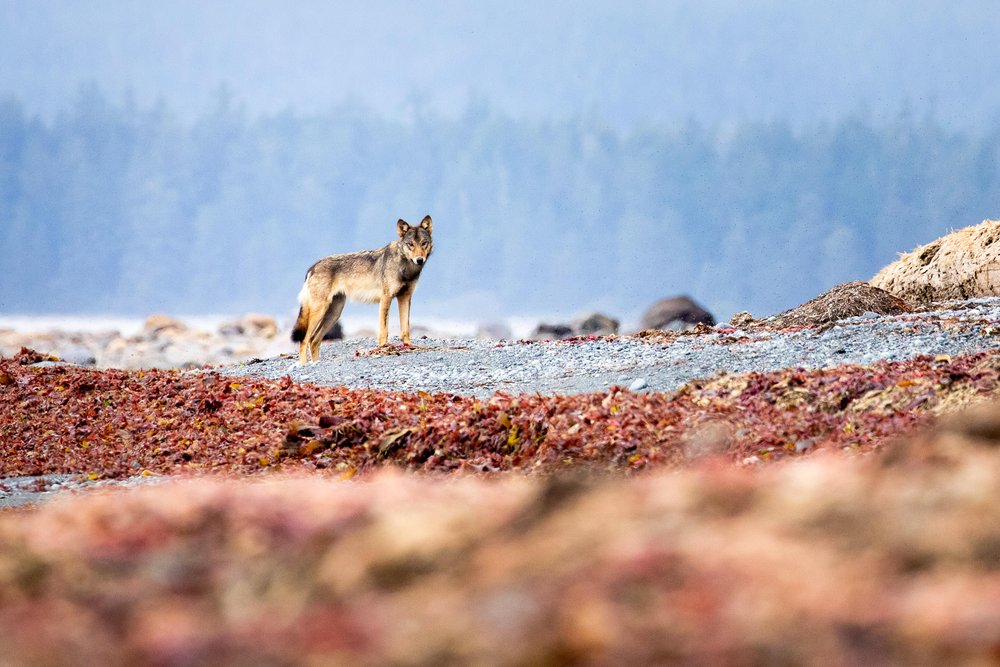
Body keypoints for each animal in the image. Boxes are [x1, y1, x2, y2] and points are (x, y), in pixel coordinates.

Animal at [288, 215, 432, 366]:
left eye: (424, 243)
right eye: (411, 244)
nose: (420, 260)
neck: (405, 267)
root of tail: (312, 267)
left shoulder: (405, 297)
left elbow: (405, 329)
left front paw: (408, 346)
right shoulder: (386, 298)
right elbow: (384, 330)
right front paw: (383, 348)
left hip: (334, 314)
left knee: (314, 340)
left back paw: (317, 363)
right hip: (319, 311)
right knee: (304, 340)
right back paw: (304, 364)